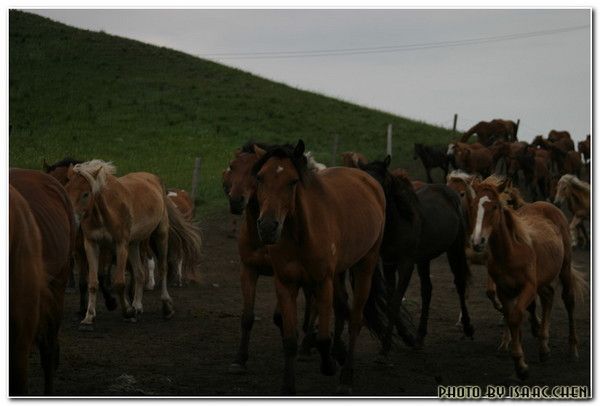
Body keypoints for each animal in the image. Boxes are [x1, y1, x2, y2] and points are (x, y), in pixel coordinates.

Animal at [64, 160, 202, 328]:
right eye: (67, 190)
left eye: (85, 194)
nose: (72, 221)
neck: (105, 212)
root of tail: (155, 179)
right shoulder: (91, 244)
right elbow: (93, 282)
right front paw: (89, 316)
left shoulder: (120, 245)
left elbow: (119, 283)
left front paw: (127, 312)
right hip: (134, 243)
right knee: (139, 273)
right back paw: (137, 306)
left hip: (160, 235)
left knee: (163, 269)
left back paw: (166, 308)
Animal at [251, 140, 386, 394]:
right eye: (260, 178)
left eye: (292, 181)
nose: (267, 227)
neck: (301, 234)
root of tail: (368, 181)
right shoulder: (286, 283)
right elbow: (289, 340)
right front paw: (288, 387)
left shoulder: (322, 282)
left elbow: (323, 337)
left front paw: (329, 366)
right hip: (339, 272)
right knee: (342, 306)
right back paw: (340, 353)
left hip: (365, 265)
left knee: (355, 319)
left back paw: (346, 376)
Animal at [468, 178, 584, 380]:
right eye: (474, 206)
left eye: (495, 206)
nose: (478, 241)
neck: (511, 252)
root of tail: (548, 204)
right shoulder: (504, 290)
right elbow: (511, 316)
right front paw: (518, 358)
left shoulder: (528, 287)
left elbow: (515, 317)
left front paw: (521, 366)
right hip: (543, 280)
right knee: (548, 297)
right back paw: (544, 348)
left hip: (564, 269)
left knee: (568, 301)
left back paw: (572, 350)